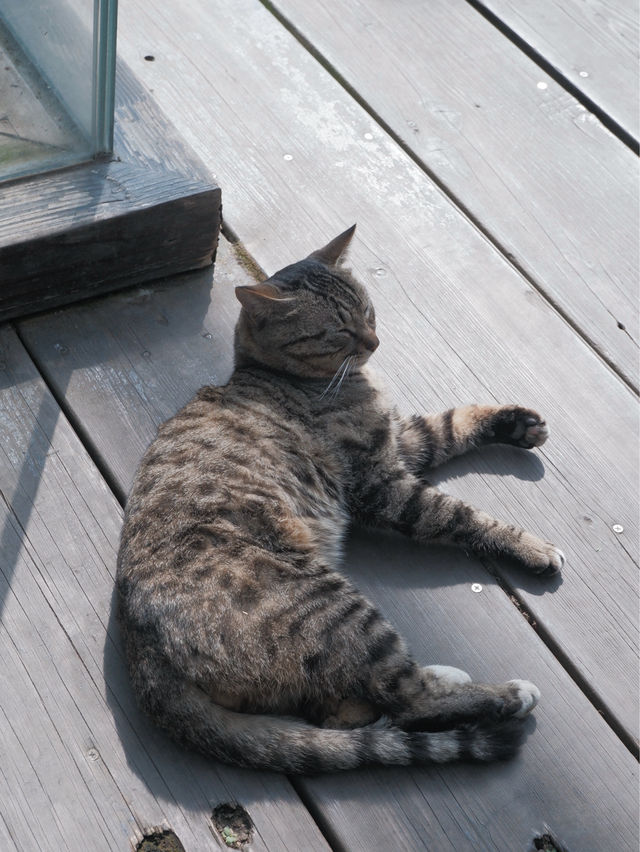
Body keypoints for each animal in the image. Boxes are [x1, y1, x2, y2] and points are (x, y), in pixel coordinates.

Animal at [117, 226, 564, 772]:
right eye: (337, 331)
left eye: (367, 311)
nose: (374, 341)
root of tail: (144, 655)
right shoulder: (381, 483)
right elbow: (462, 516)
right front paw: (532, 547)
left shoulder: (401, 439)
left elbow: (451, 423)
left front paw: (515, 423)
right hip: (337, 610)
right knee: (407, 700)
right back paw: (506, 694)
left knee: (346, 712)